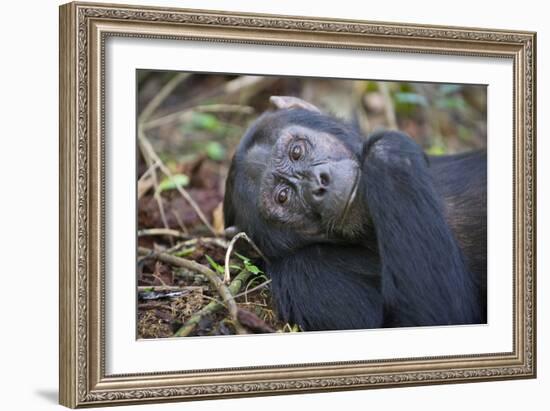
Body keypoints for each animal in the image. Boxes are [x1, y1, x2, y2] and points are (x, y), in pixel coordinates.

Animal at [224, 96, 488, 332]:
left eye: (296, 151)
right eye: (283, 197)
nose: (318, 184)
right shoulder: (305, 275)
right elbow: (427, 318)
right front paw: (386, 149)